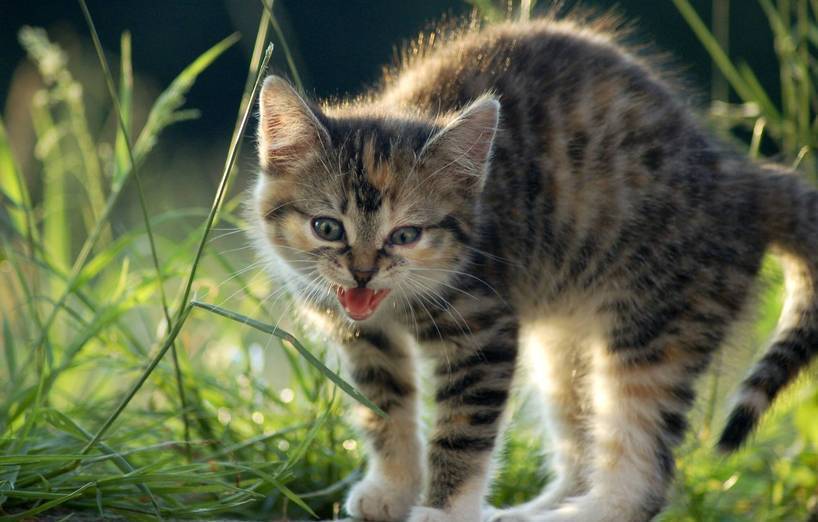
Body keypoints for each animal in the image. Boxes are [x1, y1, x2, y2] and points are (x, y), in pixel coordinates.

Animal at [249, 12, 816, 520]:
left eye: (406, 235)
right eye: (327, 227)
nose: (363, 273)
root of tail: (744, 180)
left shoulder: (483, 327)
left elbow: (463, 431)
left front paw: (442, 512)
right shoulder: (362, 337)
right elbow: (384, 409)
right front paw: (392, 489)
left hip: (657, 320)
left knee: (643, 466)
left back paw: (580, 512)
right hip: (567, 340)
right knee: (581, 438)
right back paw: (530, 510)